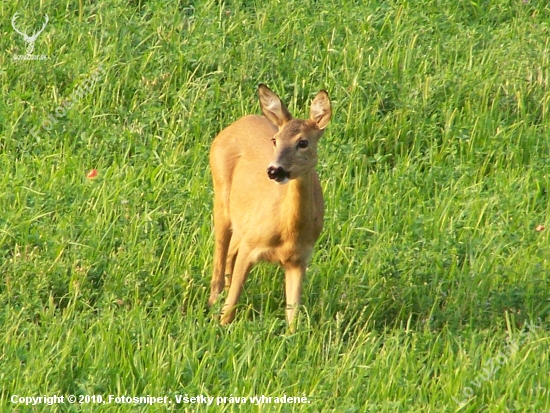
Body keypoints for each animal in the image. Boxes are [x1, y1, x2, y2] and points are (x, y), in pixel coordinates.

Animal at [209, 83, 332, 332]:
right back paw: (212, 300)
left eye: (303, 142)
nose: (275, 170)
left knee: (230, 253)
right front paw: (220, 326)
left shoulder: (299, 259)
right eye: (275, 140)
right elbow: (232, 304)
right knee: (221, 251)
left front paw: (292, 337)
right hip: (221, 194)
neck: (288, 231)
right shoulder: (250, 246)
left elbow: (293, 314)